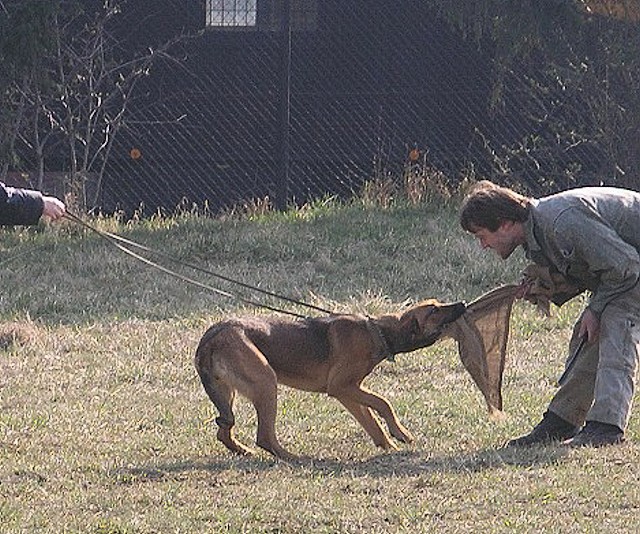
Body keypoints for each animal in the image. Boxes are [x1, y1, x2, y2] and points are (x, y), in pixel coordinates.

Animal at [194, 300, 464, 462]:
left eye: (438, 304)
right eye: (434, 310)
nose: (461, 303)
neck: (379, 333)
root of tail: (210, 340)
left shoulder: (349, 391)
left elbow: (371, 420)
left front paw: (388, 446)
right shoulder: (341, 386)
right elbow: (383, 404)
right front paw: (400, 433)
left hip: (227, 392)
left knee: (224, 430)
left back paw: (242, 450)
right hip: (266, 382)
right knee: (264, 436)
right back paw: (293, 458)